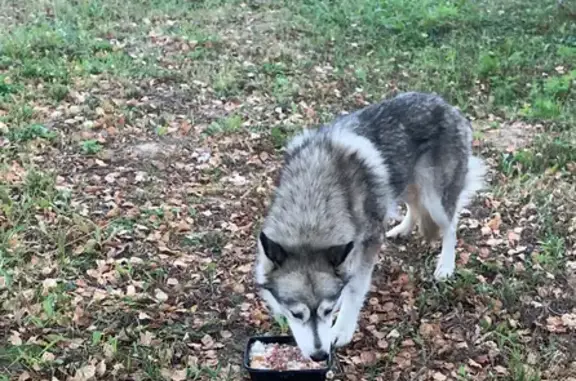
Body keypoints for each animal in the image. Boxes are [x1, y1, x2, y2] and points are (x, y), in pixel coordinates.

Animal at [254, 91, 484, 360]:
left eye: (327, 310)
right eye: (296, 314)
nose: (320, 356)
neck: (312, 203)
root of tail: (447, 104)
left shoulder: (368, 243)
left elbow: (355, 289)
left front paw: (341, 330)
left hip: (435, 199)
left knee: (451, 226)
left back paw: (445, 266)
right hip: (402, 184)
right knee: (414, 207)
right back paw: (402, 229)